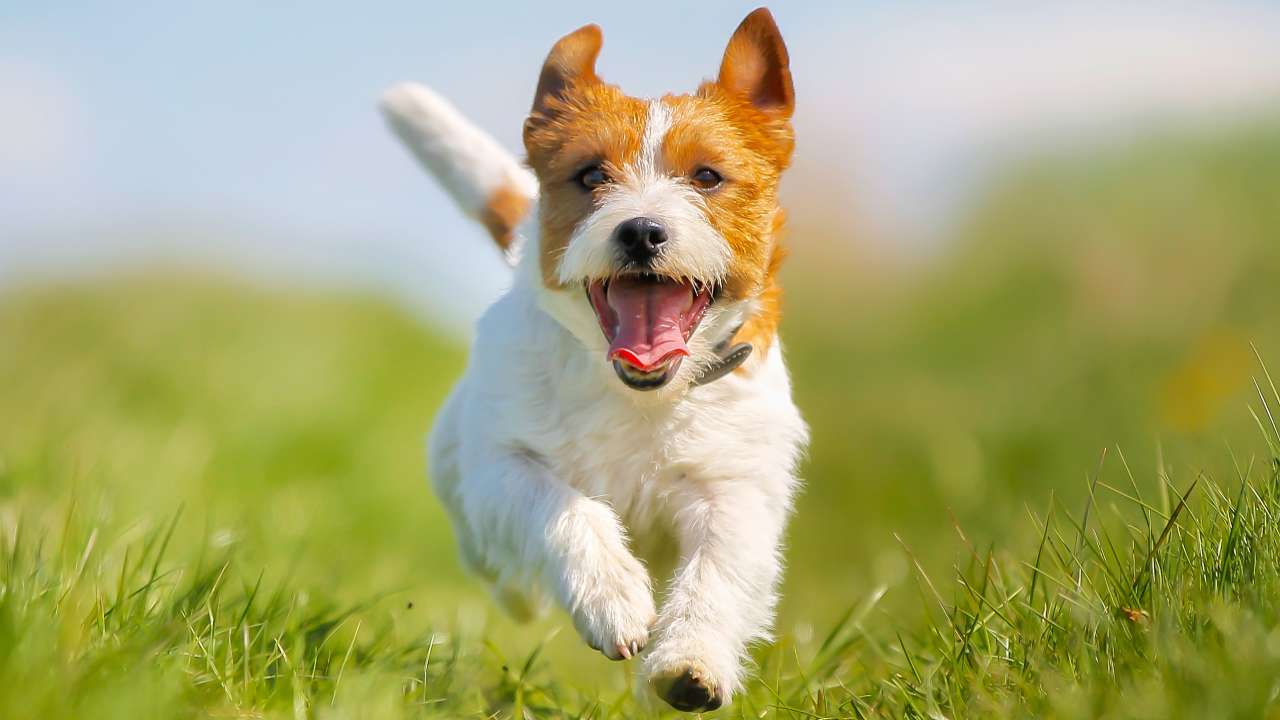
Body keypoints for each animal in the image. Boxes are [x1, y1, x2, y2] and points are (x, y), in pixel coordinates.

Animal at [376, 8, 808, 707]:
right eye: (589, 176)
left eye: (707, 176)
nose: (641, 230)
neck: (638, 393)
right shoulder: (503, 465)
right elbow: (564, 508)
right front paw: (612, 598)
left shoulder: (734, 488)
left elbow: (716, 571)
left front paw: (690, 661)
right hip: (460, 474)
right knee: (493, 560)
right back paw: (521, 591)